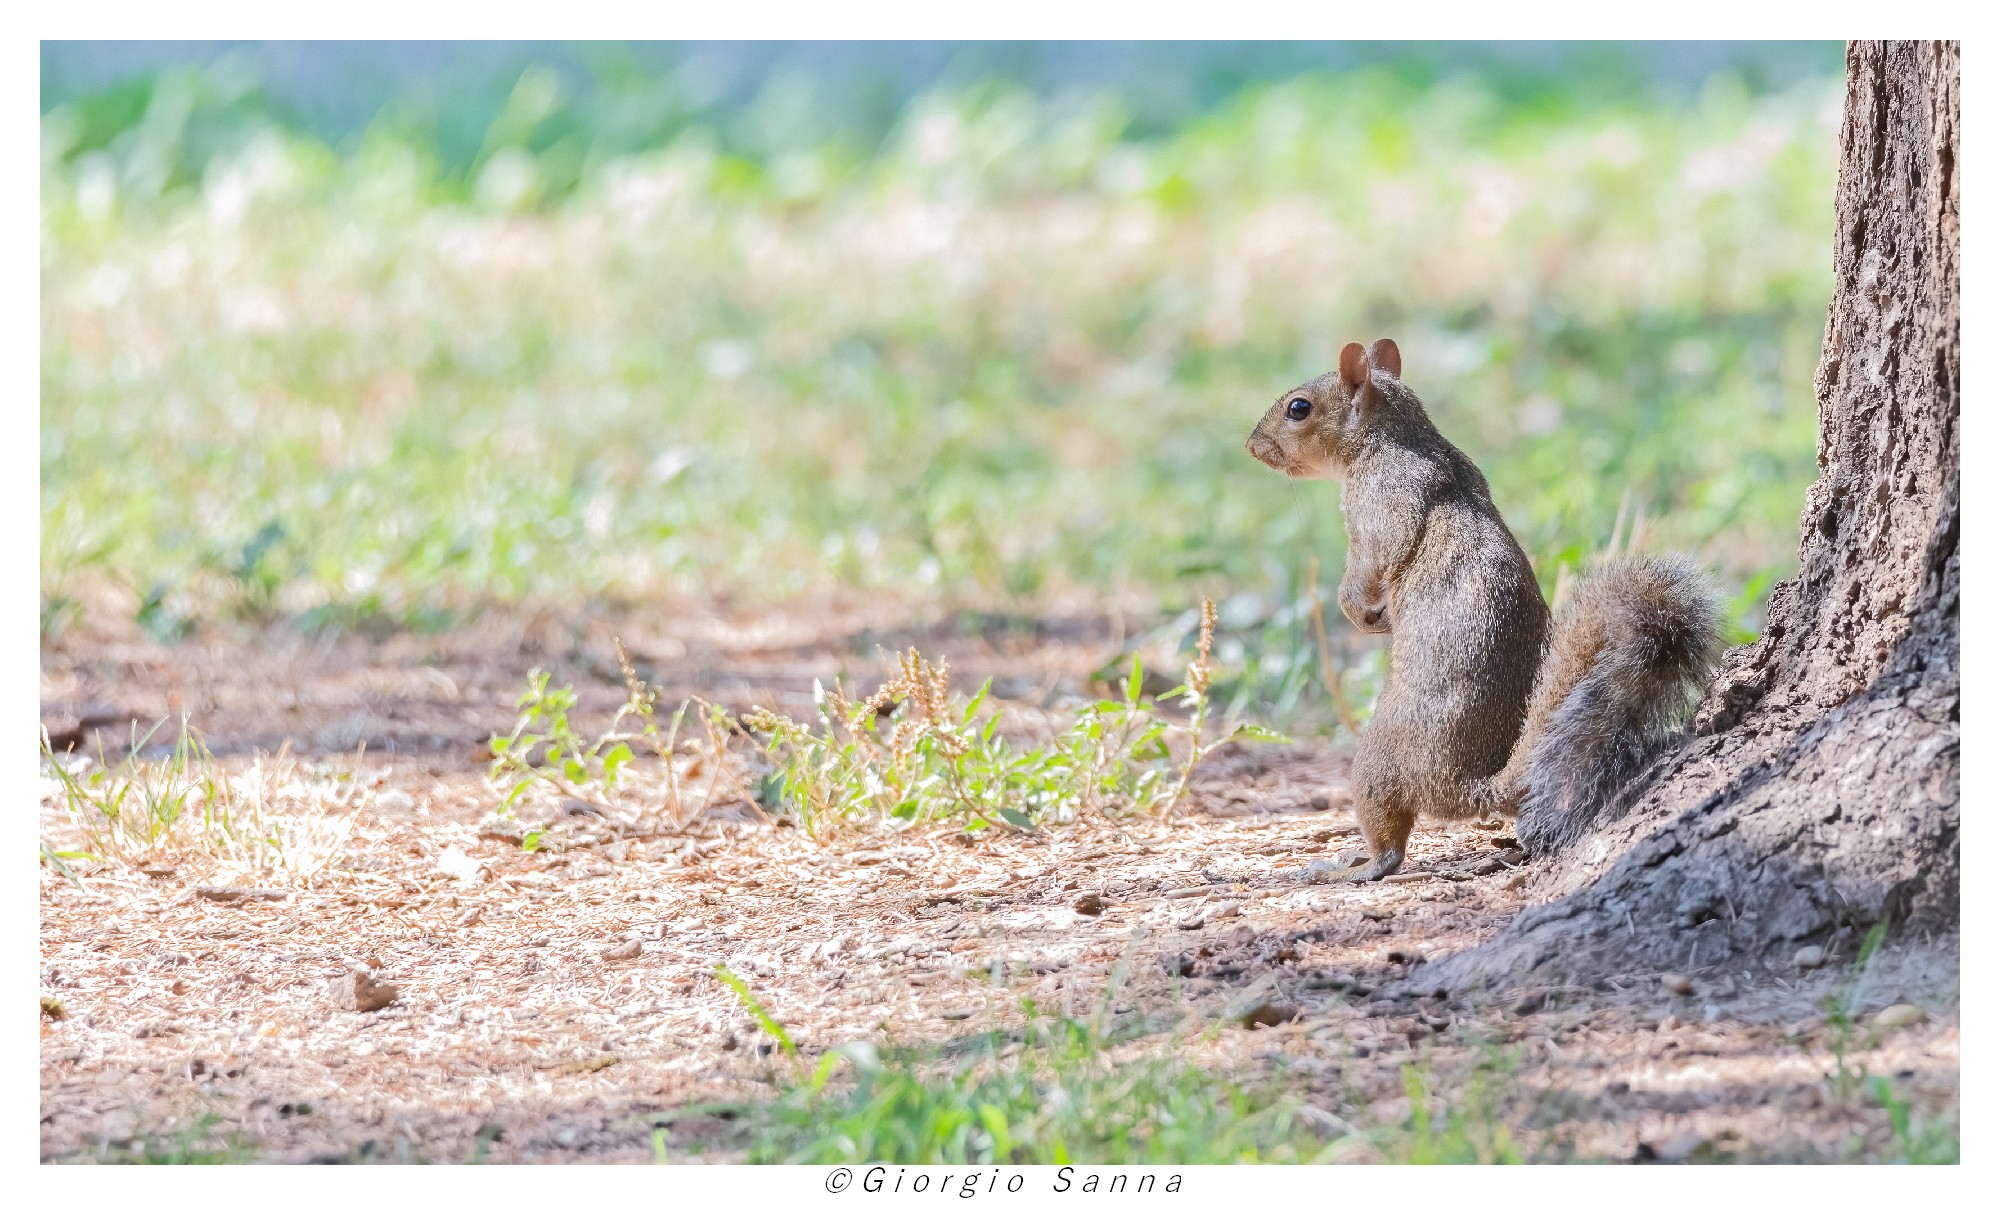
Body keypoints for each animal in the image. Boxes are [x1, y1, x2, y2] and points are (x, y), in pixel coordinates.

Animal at [1245, 338, 1721, 878]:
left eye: (1298, 408)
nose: (1252, 446)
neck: (1389, 438)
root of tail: (1469, 786)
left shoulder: (1380, 502)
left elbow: (1371, 562)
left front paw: (1360, 613)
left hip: (1376, 762)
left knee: (1390, 842)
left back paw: (1353, 864)